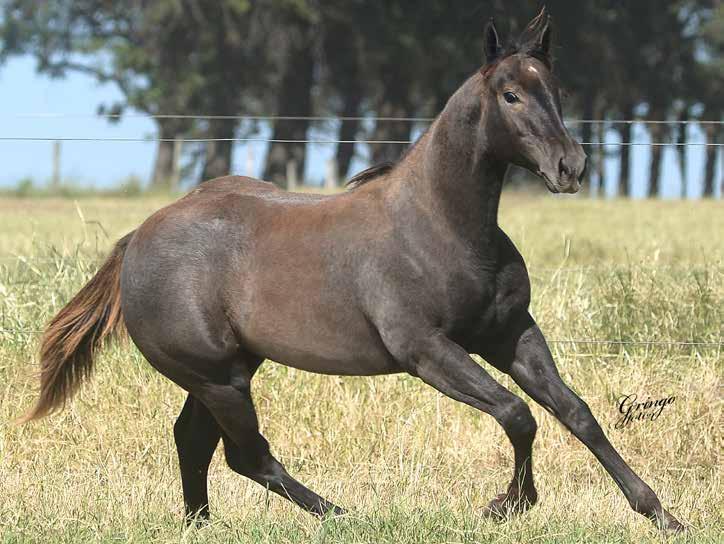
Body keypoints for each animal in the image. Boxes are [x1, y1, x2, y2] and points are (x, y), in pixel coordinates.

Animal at [19, 8, 680, 532]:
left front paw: (660, 513)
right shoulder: (426, 350)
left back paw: (202, 524)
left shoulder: (510, 333)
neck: (442, 227)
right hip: (216, 377)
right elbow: (517, 414)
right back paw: (344, 515)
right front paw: (508, 504)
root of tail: (138, 239)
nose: (570, 166)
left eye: (557, 93)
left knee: (194, 442)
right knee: (246, 455)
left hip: (229, 369)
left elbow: (576, 413)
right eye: (510, 95)